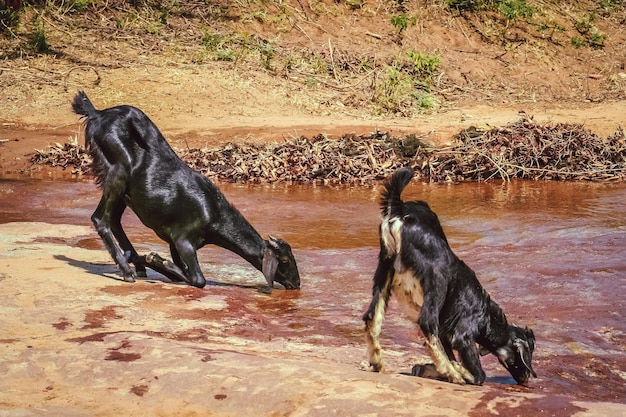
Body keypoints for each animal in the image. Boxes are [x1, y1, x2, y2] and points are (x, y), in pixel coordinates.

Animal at [70, 92, 300, 290]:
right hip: (118, 169)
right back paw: (128, 271)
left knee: (115, 220)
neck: (214, 214)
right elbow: (198, 279)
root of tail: (97, 113)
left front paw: (155, 262)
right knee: (101, 218)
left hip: (124, 191)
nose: (297, 284)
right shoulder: (183, 240)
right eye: (284, 260)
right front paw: (158, 260)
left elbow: (182, 272)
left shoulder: (174, 241)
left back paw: (137, 264)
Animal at [364, 167, 532, 386]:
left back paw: (378, 362)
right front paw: (458, 371)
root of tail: (399, 210)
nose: (527, 378)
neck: (486, 316)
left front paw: (428, 369)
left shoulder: (446, 334)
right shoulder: (463, 334)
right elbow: (479, 375)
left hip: (384, 269)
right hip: (437, 278)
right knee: (427, 322)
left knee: (372, 317)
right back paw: (452, 373)